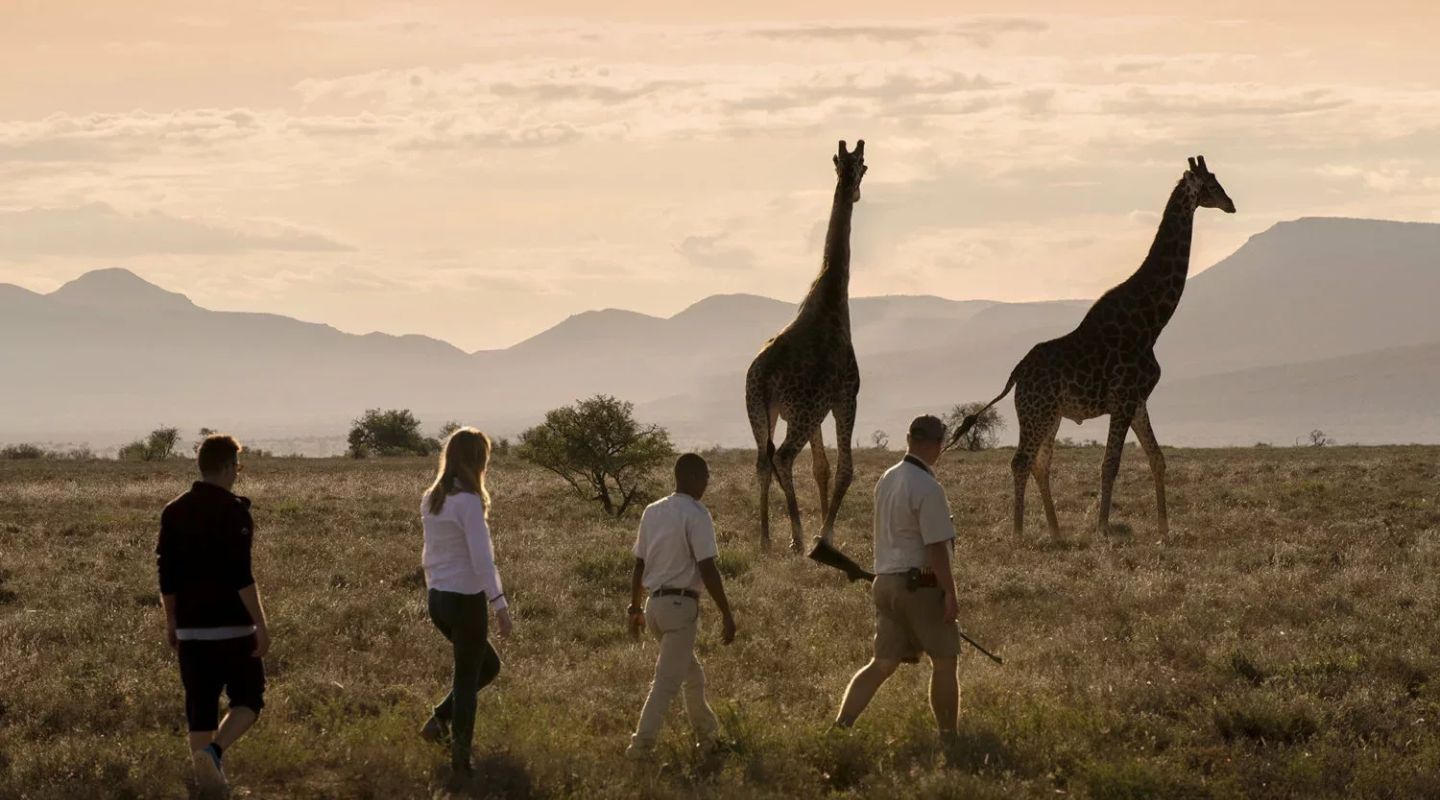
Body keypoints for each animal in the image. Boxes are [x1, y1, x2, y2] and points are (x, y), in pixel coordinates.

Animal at [748, 138, 869, 555]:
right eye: (865, 166)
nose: (856, 191)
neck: (832, 297)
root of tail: (763, 375)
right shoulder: (845, 396)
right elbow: (845, 468)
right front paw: (825, 534)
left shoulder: (819, 408)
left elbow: (821, 468)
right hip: (801, 412)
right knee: (782, 457)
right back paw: (798, 538)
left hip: (760, 410)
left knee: (762, 460)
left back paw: (766, 538)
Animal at [944, 154, 1238, 543]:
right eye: (1210, 184)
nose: (1231, 204)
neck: (1151, 324)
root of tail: (1016, 372)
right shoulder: (1123, 398)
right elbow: (1110, 464)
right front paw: (1103, 528)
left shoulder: (1138, 401)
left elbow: (1157, 459)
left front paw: (1164, 530)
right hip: (1037, 412)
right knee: (1021, 461)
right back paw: (1019, 534)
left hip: (1050, 414)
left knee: (1040, 464)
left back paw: (1056, 533)